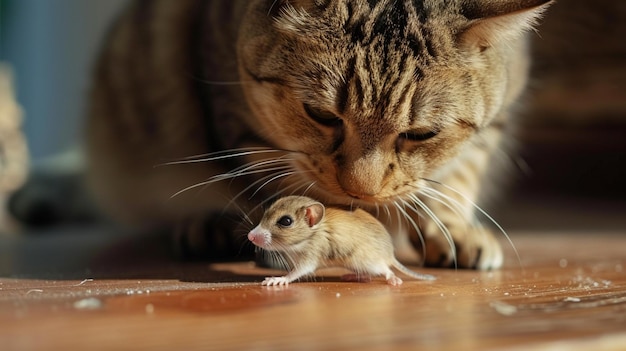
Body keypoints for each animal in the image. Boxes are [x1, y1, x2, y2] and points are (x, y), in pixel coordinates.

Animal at [57, 0, 552, 270]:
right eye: (320, 114)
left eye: (421, 133)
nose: (360, 191)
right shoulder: (241, 126)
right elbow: (278, 187)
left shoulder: (497, 118)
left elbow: (458, 176)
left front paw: (453, 230)